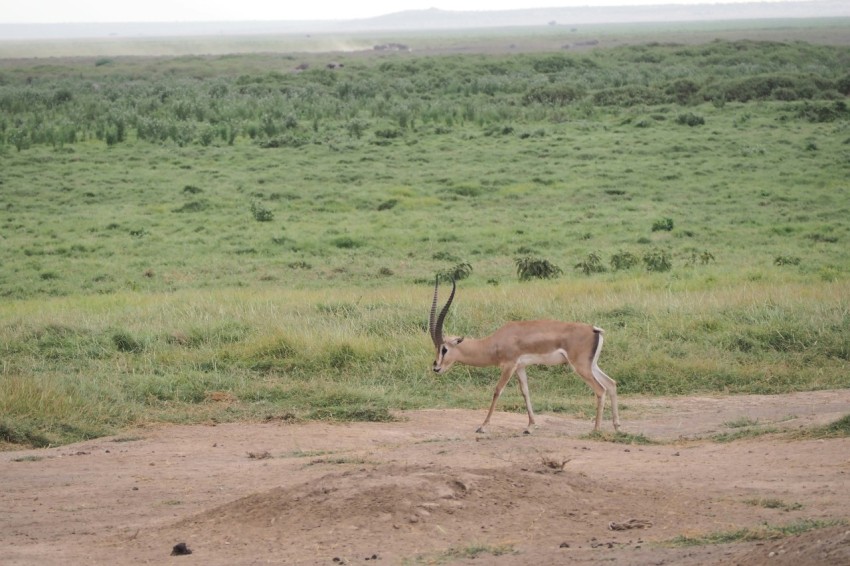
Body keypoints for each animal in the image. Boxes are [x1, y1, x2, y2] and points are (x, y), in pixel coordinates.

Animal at [429, 278, 620, 435]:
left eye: (444, 349)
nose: (436, 367)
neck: (494, 342)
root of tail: (593, 329)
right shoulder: (520, 367)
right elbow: (525, 392)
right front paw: (530, 426)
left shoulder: (509, 365)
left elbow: (497, 390)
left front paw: (482, 426)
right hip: (591, 366)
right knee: (611, 383)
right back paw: (617, 426)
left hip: (580, 367)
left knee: (600, 389)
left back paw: (596, 429)